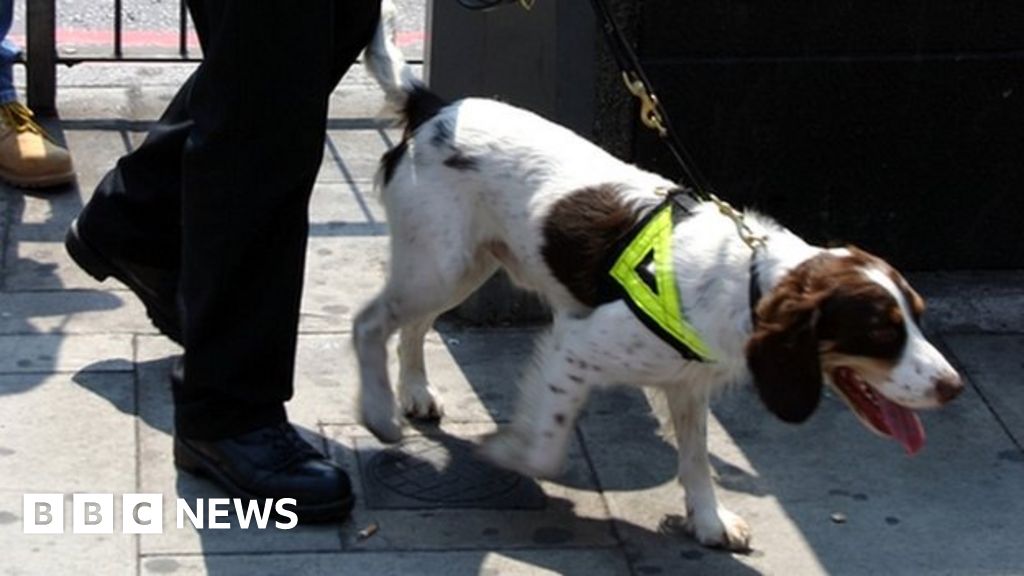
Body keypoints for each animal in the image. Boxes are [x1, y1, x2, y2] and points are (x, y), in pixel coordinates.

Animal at [350, 5, 958, 553]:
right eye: (880, 332)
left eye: (918, 318)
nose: (952, 387)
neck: (743, 281)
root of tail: (433, 106)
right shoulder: (577, 346)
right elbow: (547, 445)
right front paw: (508, 454)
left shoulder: (687, 381)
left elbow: (696, 458)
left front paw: (709, 521)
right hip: (441, 265)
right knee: (369, 322)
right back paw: (380, 413)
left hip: (459, 265)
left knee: (412, 326)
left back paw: (416, 393)